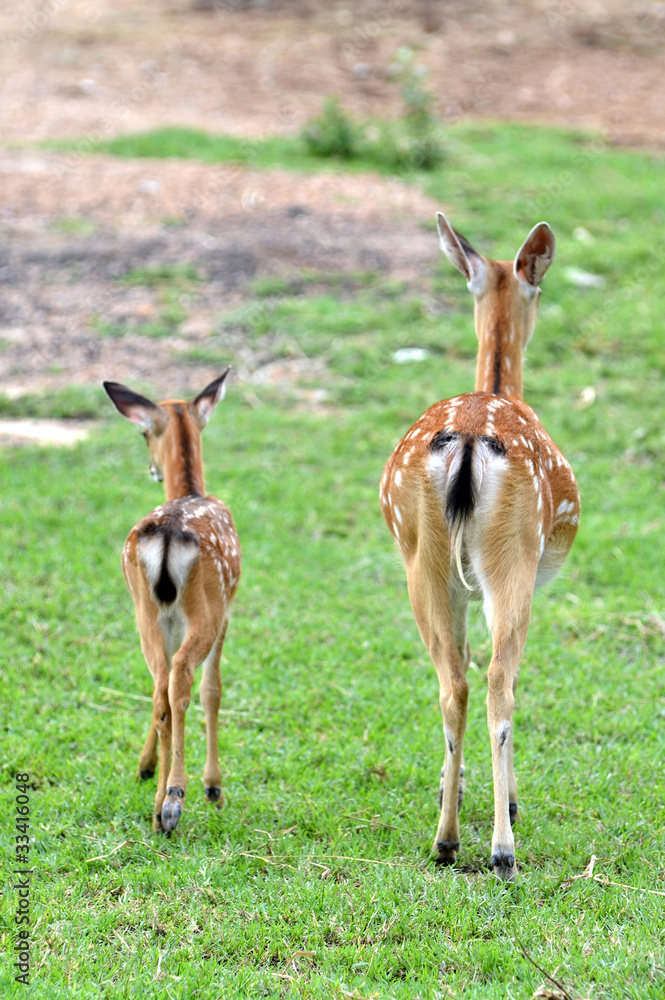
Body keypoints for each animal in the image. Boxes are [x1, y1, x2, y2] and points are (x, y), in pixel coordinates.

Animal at [102, 372, 240, 832]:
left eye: (144, 432)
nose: (151, 468)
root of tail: (165, 536)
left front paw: (144, 767)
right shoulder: (227, 609)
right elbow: (213, 690)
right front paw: (213, 787)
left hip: (145, 611)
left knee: (160, 685)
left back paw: (158, 802)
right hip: (204, 608)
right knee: (180, 679)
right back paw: (176, 798)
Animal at [382, 215, 580, 880]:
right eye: (539, 291)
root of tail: (469, 440)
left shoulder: (460, 589)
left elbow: (462, 662)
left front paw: (455, 787)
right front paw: (509, 800)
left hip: (425, 561)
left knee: (454, 681)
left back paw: (445, 837)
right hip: (510, 557)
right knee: (498, 682)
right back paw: (501, 847)